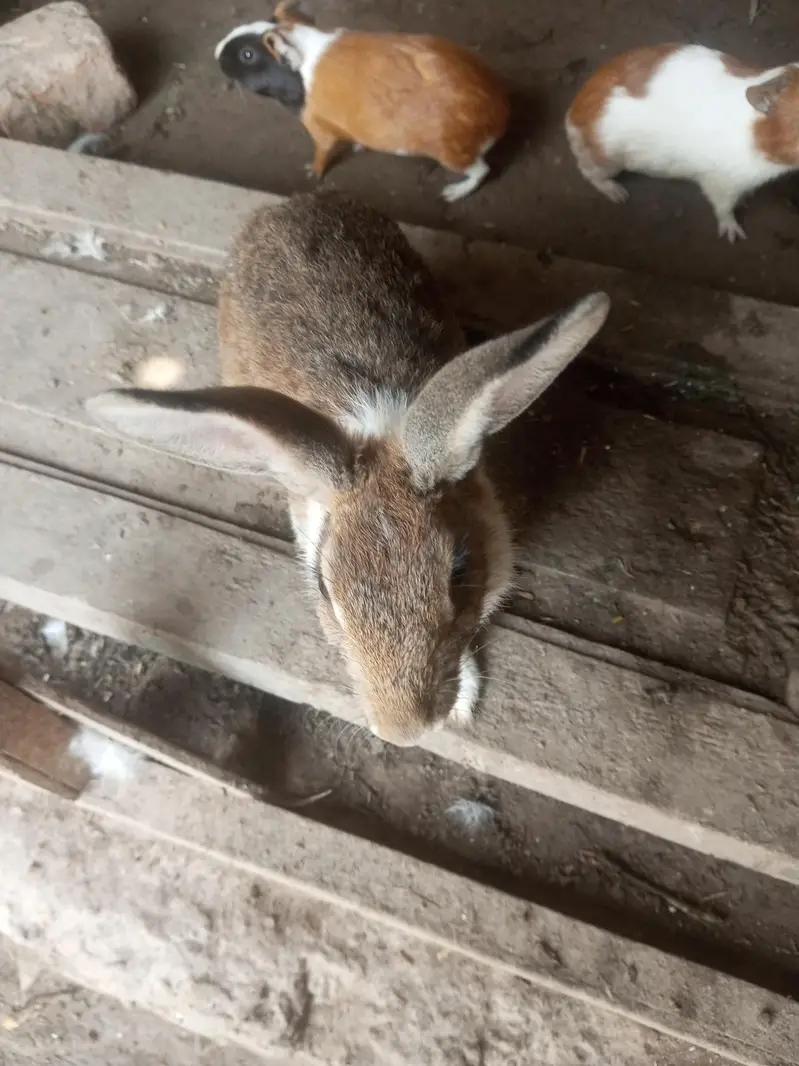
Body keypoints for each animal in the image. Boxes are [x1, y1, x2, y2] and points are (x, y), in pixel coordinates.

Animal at [214, 3, 510, 202]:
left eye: (248, 54)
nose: (216, 51)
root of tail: (500, 114)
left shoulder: (319, 131)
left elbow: (322, 154)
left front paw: (311, 172)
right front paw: (356, 147)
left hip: (454, 157)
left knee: (482, 170)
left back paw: (450, 193)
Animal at [565, 43, 799, 241]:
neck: (758, 134)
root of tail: (571, 116)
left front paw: (747, 200)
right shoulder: (720, 185)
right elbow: (724, 210)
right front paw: (734, 236)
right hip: (607, 163)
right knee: (589, 174)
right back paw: (620, 195)